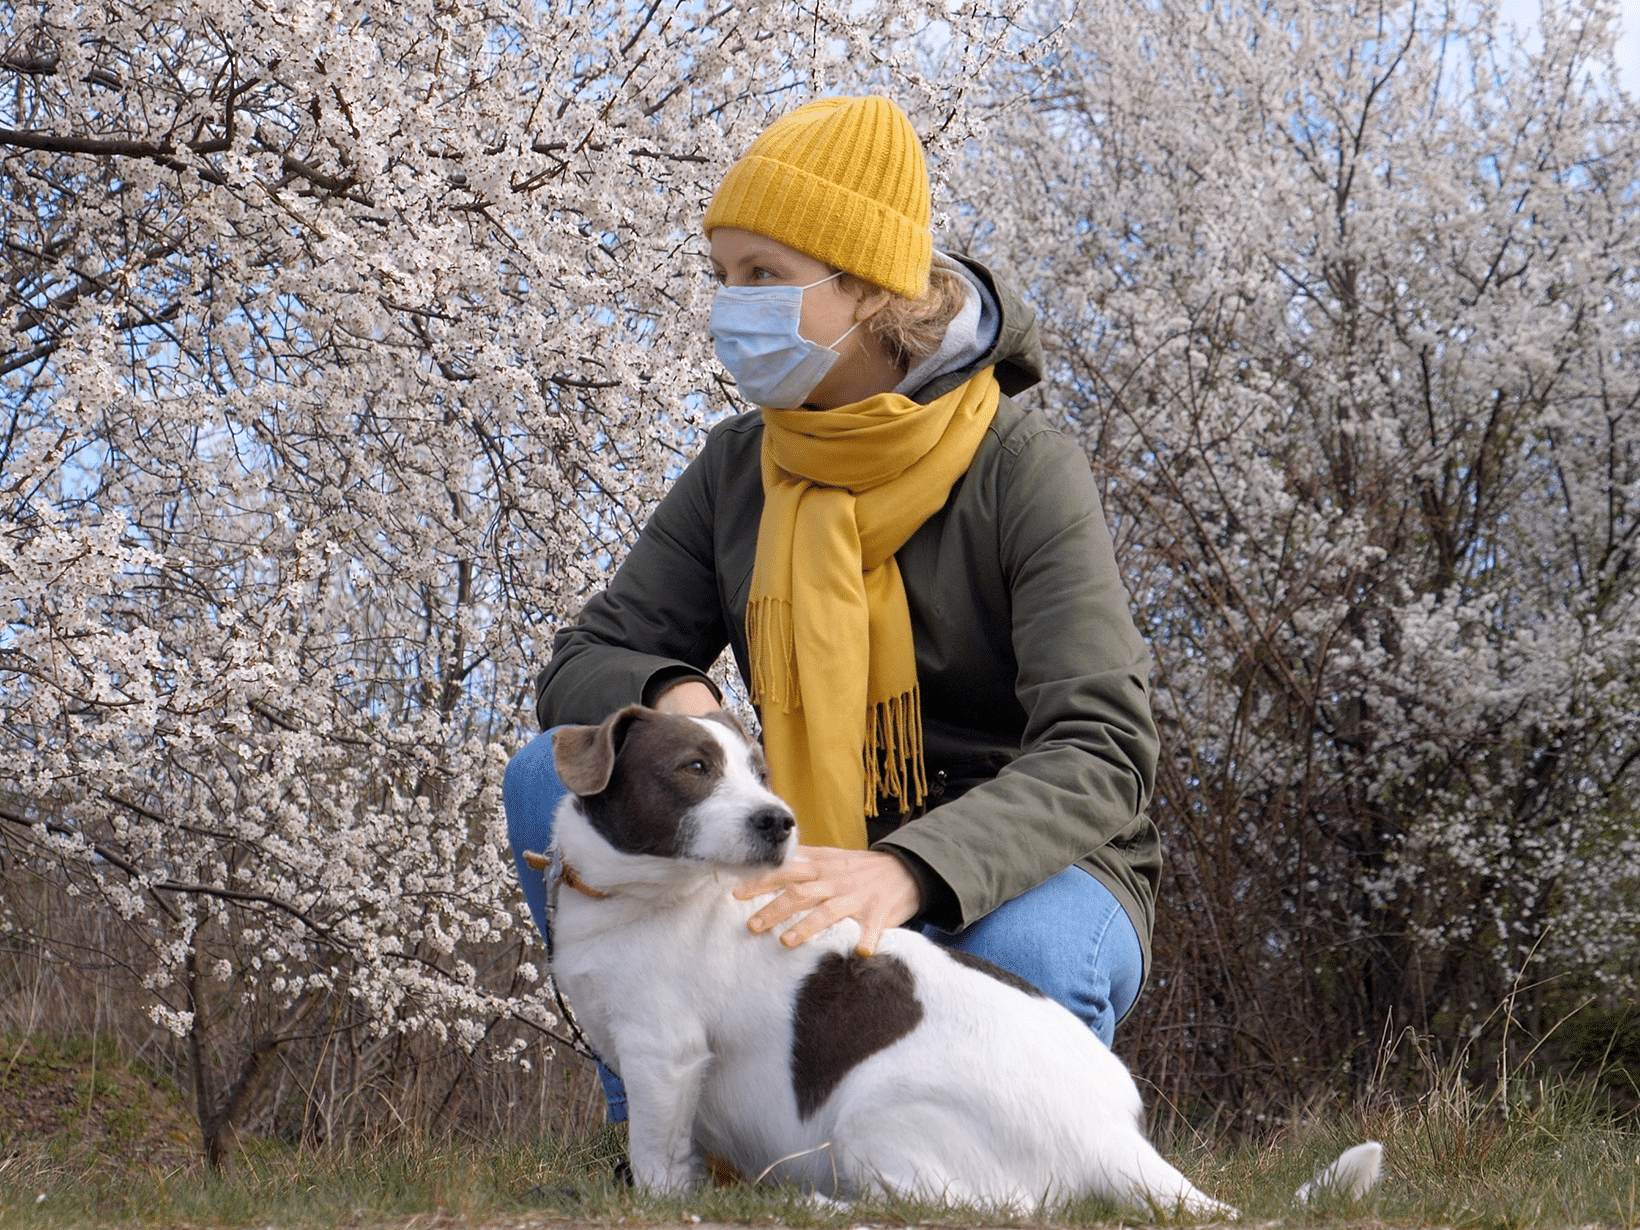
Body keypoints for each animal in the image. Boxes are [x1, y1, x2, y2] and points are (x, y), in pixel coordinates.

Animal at [541, 708, 1384, 1220]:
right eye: (693, 767)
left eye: (759, 775)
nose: (778, 822)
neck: (642, 893)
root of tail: (1112, 1141)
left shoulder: (664, 1054)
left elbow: (656, 1156)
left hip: (873, 1113)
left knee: (949, 1210)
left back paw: (808, 1206)